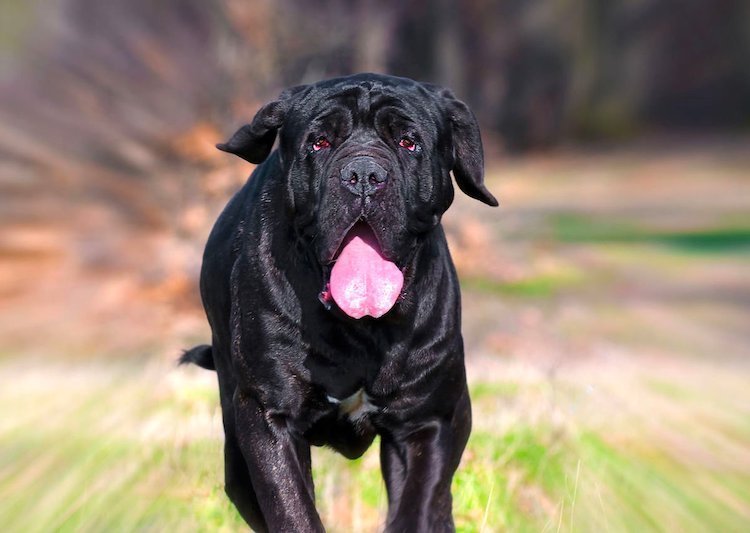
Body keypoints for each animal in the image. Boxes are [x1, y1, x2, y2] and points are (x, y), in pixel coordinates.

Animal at [182, 72, 500, 528]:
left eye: (408, 142)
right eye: (319, 142)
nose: (363, 174)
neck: (362, 331)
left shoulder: (430, 420)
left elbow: (417, 504)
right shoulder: (269, 417)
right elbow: (293, 510)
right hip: (236, 457)